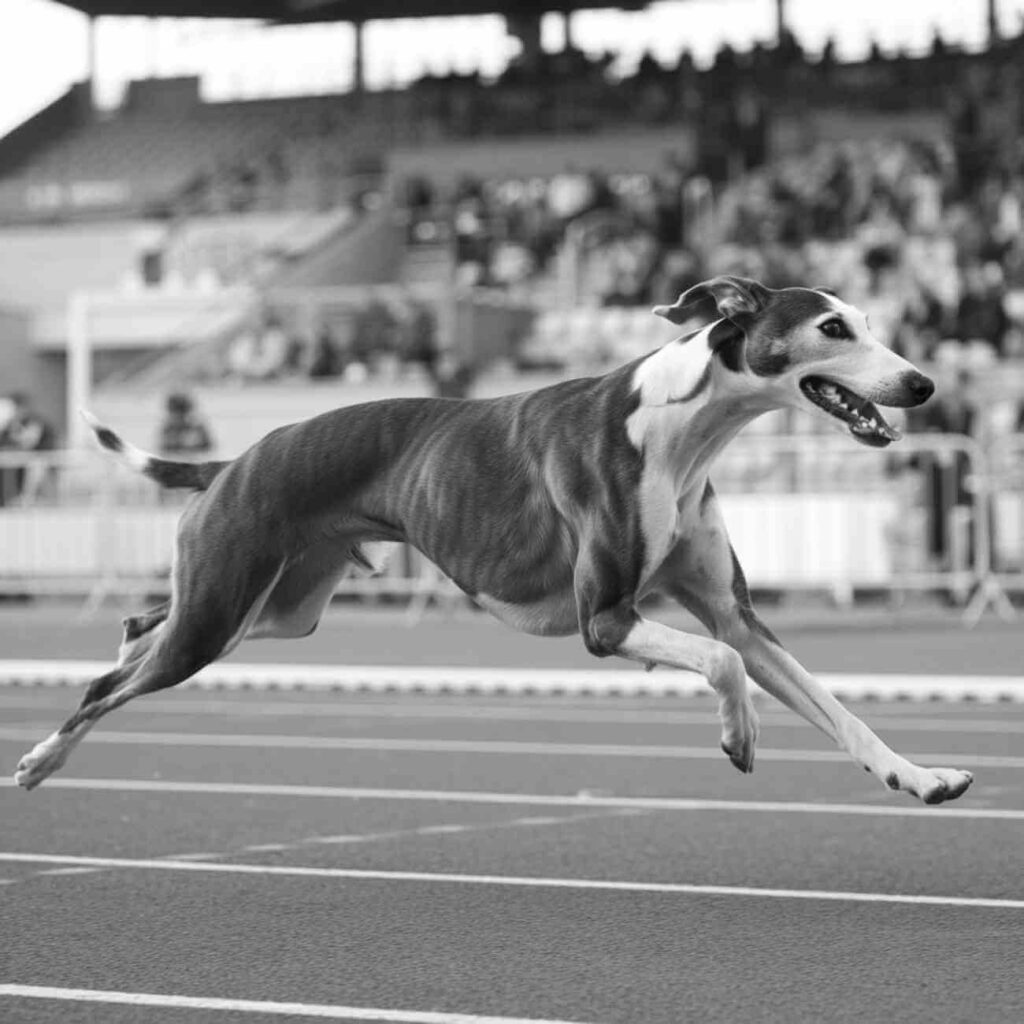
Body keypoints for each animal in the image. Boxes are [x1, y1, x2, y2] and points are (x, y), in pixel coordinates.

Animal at [18, 280, 974, 806]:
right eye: (833, 329)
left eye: (868, 323)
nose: (924, 383)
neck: (679, 426)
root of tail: (239, 459)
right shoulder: (606, 620)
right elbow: (724, 665)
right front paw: (739, 733)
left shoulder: (732, 613)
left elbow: (834, 706)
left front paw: (919, 776)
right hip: (224, 608)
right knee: (107, 683)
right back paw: (39, 758)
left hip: (275, 608)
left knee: (141, 624)